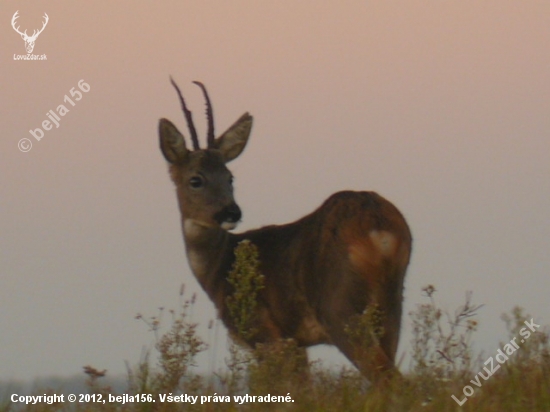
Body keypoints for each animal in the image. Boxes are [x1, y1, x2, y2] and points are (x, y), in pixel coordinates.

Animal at [160, 79, 414, 382]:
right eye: (196, 180)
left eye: (229, 177)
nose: (231, 212)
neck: (221, 267)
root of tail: (377, 225)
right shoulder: (296, 342)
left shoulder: (266, 334)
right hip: (391, 306)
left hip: (339, 307)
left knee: (389, 378)